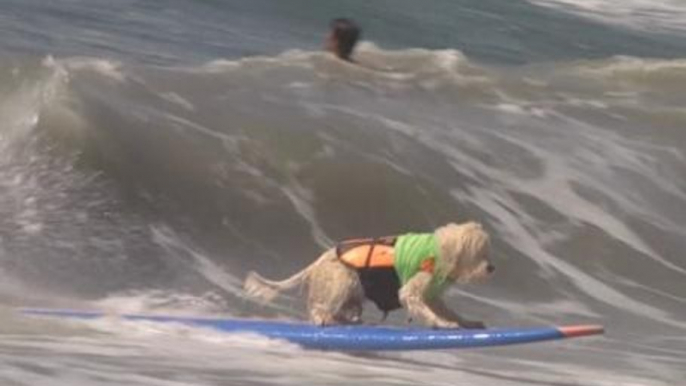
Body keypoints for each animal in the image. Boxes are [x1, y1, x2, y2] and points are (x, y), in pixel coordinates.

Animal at [245, 222, 492, 328]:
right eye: (480, 253)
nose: (492, 268)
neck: (443, 250)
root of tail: (320, 259)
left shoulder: (432, 295)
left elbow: (446, 309)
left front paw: (464, 322)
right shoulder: (413, 291)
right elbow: (418, 303)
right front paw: (442, 323)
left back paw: (345, 318)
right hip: (342, 280)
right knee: (320, 305)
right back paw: (324, 317)